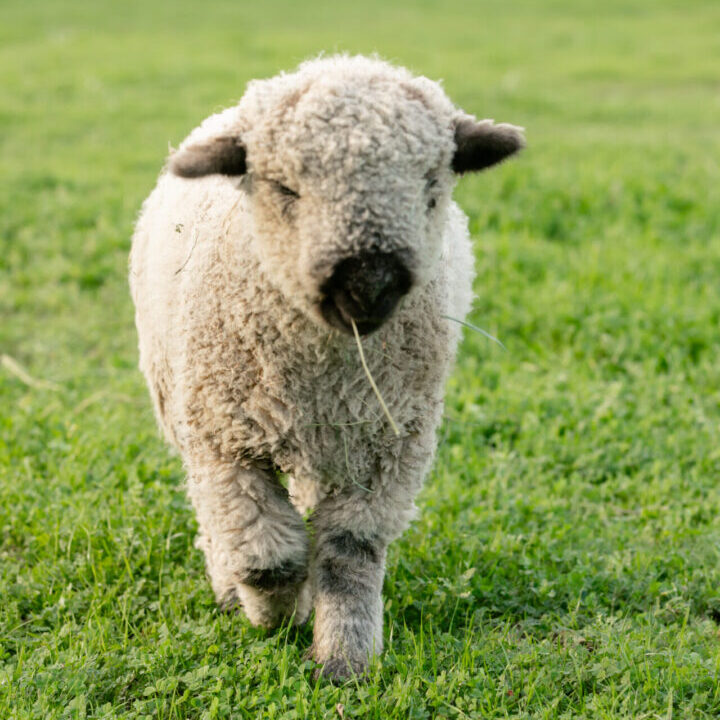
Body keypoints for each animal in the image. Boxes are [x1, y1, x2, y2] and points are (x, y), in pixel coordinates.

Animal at [129, 54, 524, 680]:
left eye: (431, 186)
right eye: (285, 187)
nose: (369, 286)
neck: (324, 371)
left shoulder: (387, 448)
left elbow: (349, 553)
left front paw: (344, 659)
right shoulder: (227, 441)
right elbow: (265, 557)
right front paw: (275, 616)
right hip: (190, 413)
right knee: (219, 521)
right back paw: (231, 590)